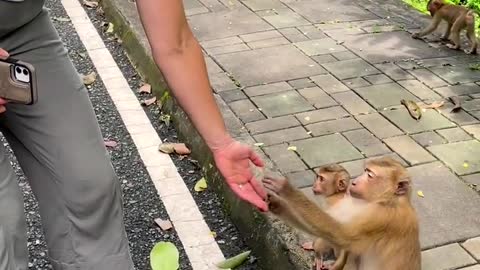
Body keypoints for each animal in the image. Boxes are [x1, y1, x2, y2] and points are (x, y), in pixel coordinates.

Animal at [262, 157, 420, 268]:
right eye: (365, 171)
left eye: (369, 175)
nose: (355, 182)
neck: (389, 199)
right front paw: (276, 204)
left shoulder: (382, 216)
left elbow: (342, 235)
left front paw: (286, 188)